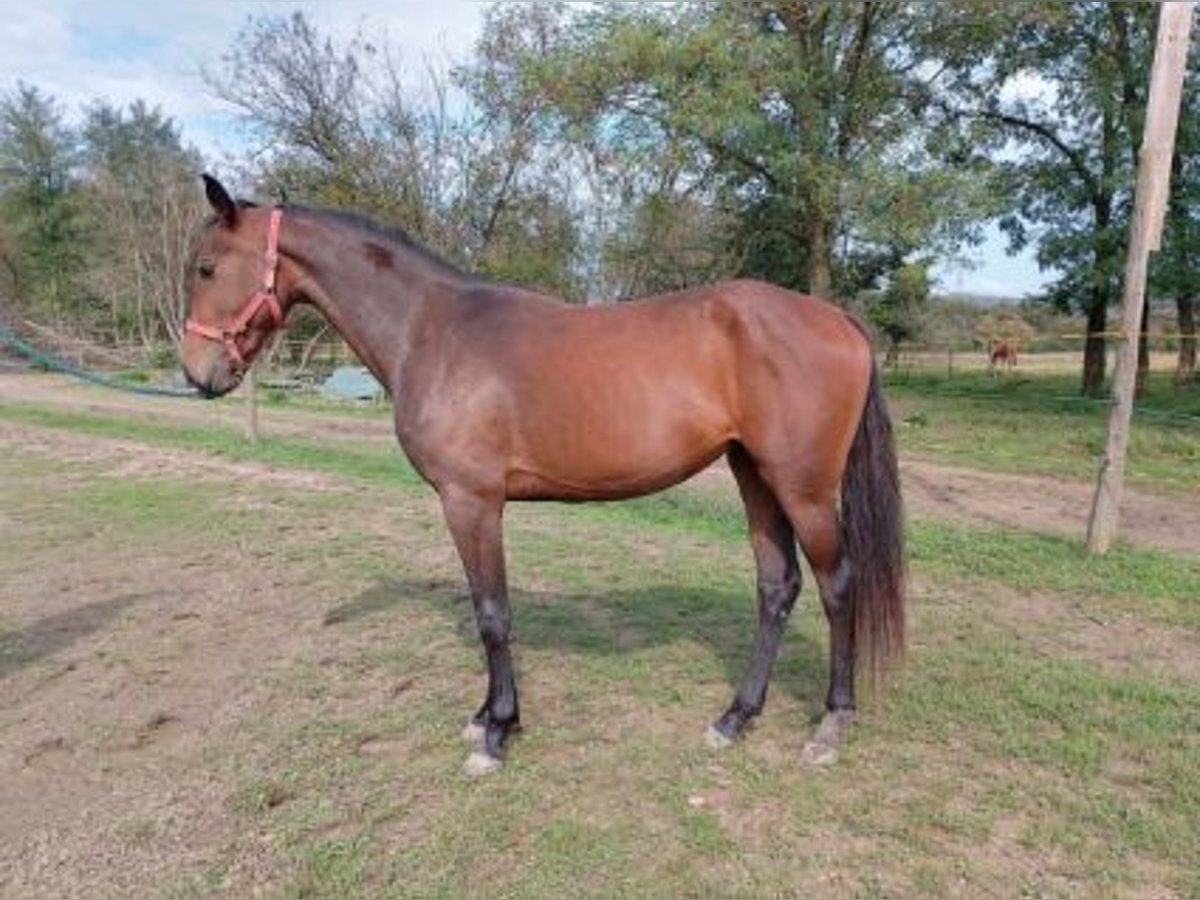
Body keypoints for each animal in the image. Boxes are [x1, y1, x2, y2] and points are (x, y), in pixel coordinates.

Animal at [182, 174, 902, 777]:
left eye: (208, 267)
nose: (197, 374)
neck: (431, 330)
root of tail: (836, 318)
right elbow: (486, 609)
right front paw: (484, 718)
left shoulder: (471, 501)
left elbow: (492, 614)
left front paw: (498, 731)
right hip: (755, 475)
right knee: (777, 587)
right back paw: (735, 718)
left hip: (803, 488)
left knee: (838, 585)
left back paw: (830, 726)